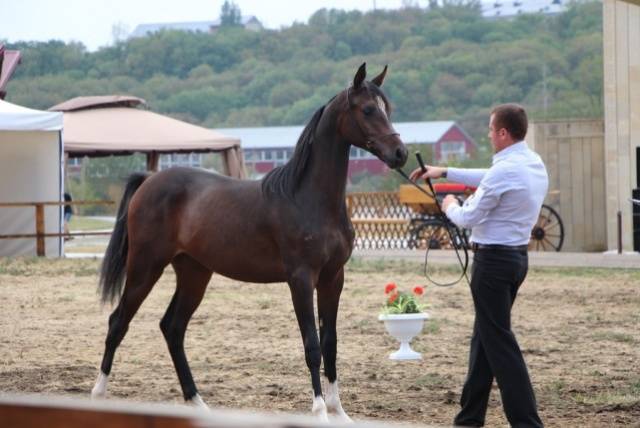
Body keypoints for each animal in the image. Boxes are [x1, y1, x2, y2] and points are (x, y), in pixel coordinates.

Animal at [90, 64, 408, 422]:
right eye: (367, 110)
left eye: (387, 108)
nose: (400, 153)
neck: (308, 198)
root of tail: (149, 181)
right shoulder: (301, 278)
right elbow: (312, 345)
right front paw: (319, 411)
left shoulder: (332, 278)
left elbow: (330, 344)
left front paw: (339, 412)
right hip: (145, 266)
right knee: (118, 322)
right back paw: (98, 396)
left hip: (194, 273)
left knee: (172, 327)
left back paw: (198, 402)